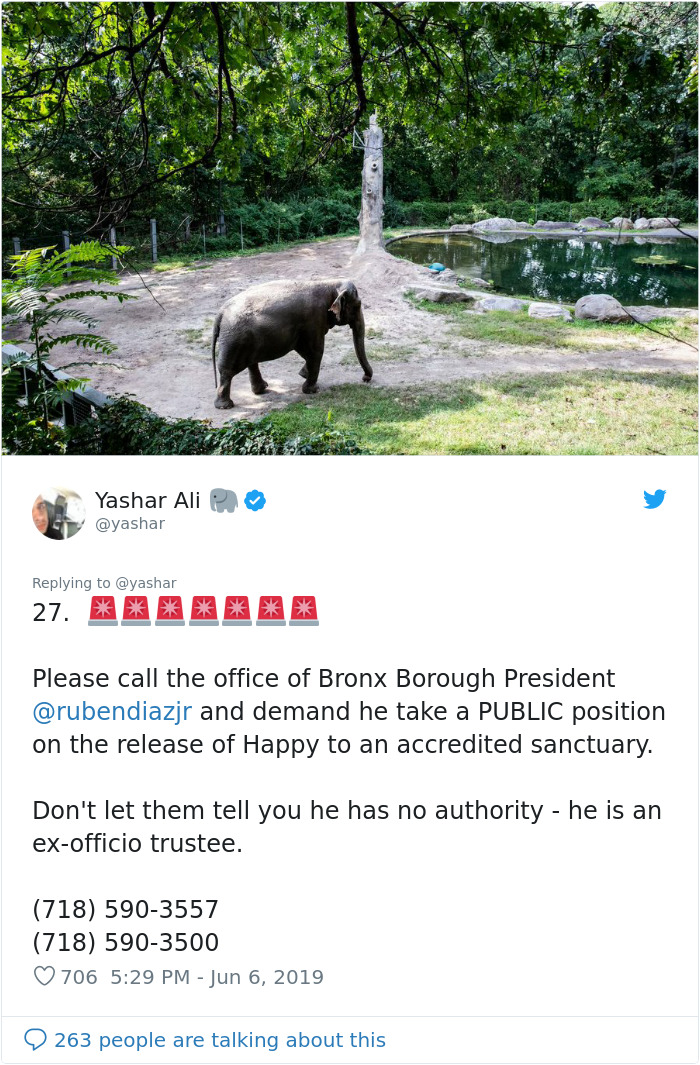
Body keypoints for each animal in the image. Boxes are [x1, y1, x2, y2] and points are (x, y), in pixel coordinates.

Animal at [211, 278, 372, 409]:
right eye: (358, 306)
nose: (365, 379)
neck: (330, 283)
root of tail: (221, 312)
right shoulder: (314, 320)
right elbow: (316, 351)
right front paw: (312, 390)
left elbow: (306, 351)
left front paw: (303, 374)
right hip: (234, 340)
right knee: (227, 371)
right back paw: (225, 406)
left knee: (250, 362)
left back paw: (261, 390)